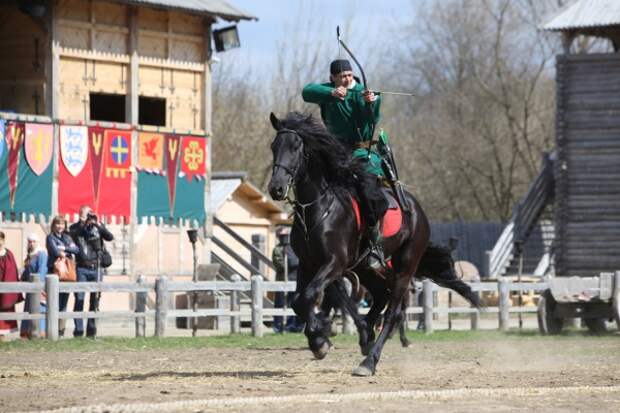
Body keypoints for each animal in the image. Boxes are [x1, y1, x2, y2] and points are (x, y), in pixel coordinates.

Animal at [268, 111, 480, 374]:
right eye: (274, 146)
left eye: (296, 147)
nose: (276, 188)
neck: (319, 208)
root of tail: (418, 211)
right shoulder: (308, 264)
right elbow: (300, 301)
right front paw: (319, 338)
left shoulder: (334, 263)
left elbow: (308, 297)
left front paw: (320, 338)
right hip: (364, 268)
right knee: (379, 295)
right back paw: (365, 336)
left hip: (404, 268)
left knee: (392, 313)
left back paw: (369, 360)